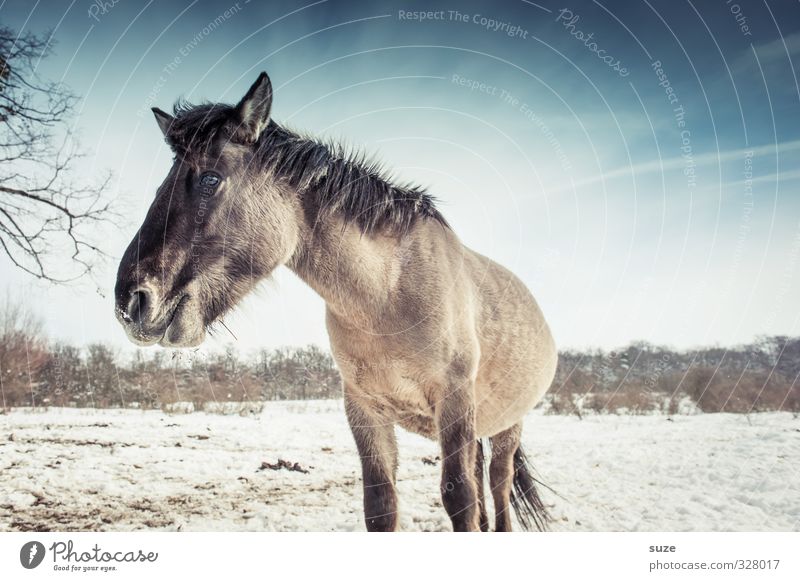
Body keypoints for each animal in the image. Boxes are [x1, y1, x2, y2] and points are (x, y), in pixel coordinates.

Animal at [115, 71, 560, 532]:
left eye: (210, 179)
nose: (131, 303)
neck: (386, 296)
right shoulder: (364, 409)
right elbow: (380, 506)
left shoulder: (453, 401)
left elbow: (460, 499)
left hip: (507, 426)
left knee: (498, 485)